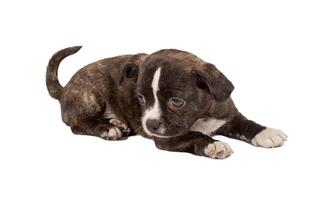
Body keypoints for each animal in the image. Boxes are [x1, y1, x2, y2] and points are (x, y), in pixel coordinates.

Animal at [47, 46, 288, 159]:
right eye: (140, 98)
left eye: (177, 102)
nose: (150, 125)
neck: (201, 115)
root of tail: (65, 88)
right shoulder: (169, 138)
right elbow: (194, 135)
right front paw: (214, 145)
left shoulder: (227, 116)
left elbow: (246, 123)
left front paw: (266, 132)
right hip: (91, 94)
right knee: (77, 124)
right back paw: (108, 128)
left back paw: (117, 123)